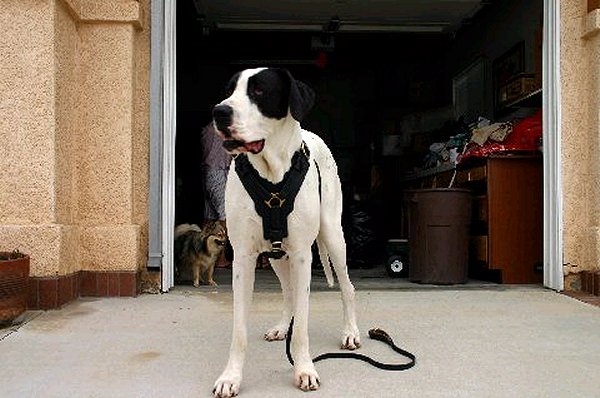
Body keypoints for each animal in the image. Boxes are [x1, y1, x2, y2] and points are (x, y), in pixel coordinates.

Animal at [212, 67, 358, 396]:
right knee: (289, 294)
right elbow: (239, 330)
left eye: (259, 90)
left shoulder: (303, 256)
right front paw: (231, 376)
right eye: (228, 90)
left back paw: (350, 332)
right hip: (276, 255)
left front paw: (304, 370)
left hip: (333, 236)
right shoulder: (243, 258)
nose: (219, 112)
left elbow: (302, 327)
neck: (272, 173)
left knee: (347, 287)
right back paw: (281, 328)